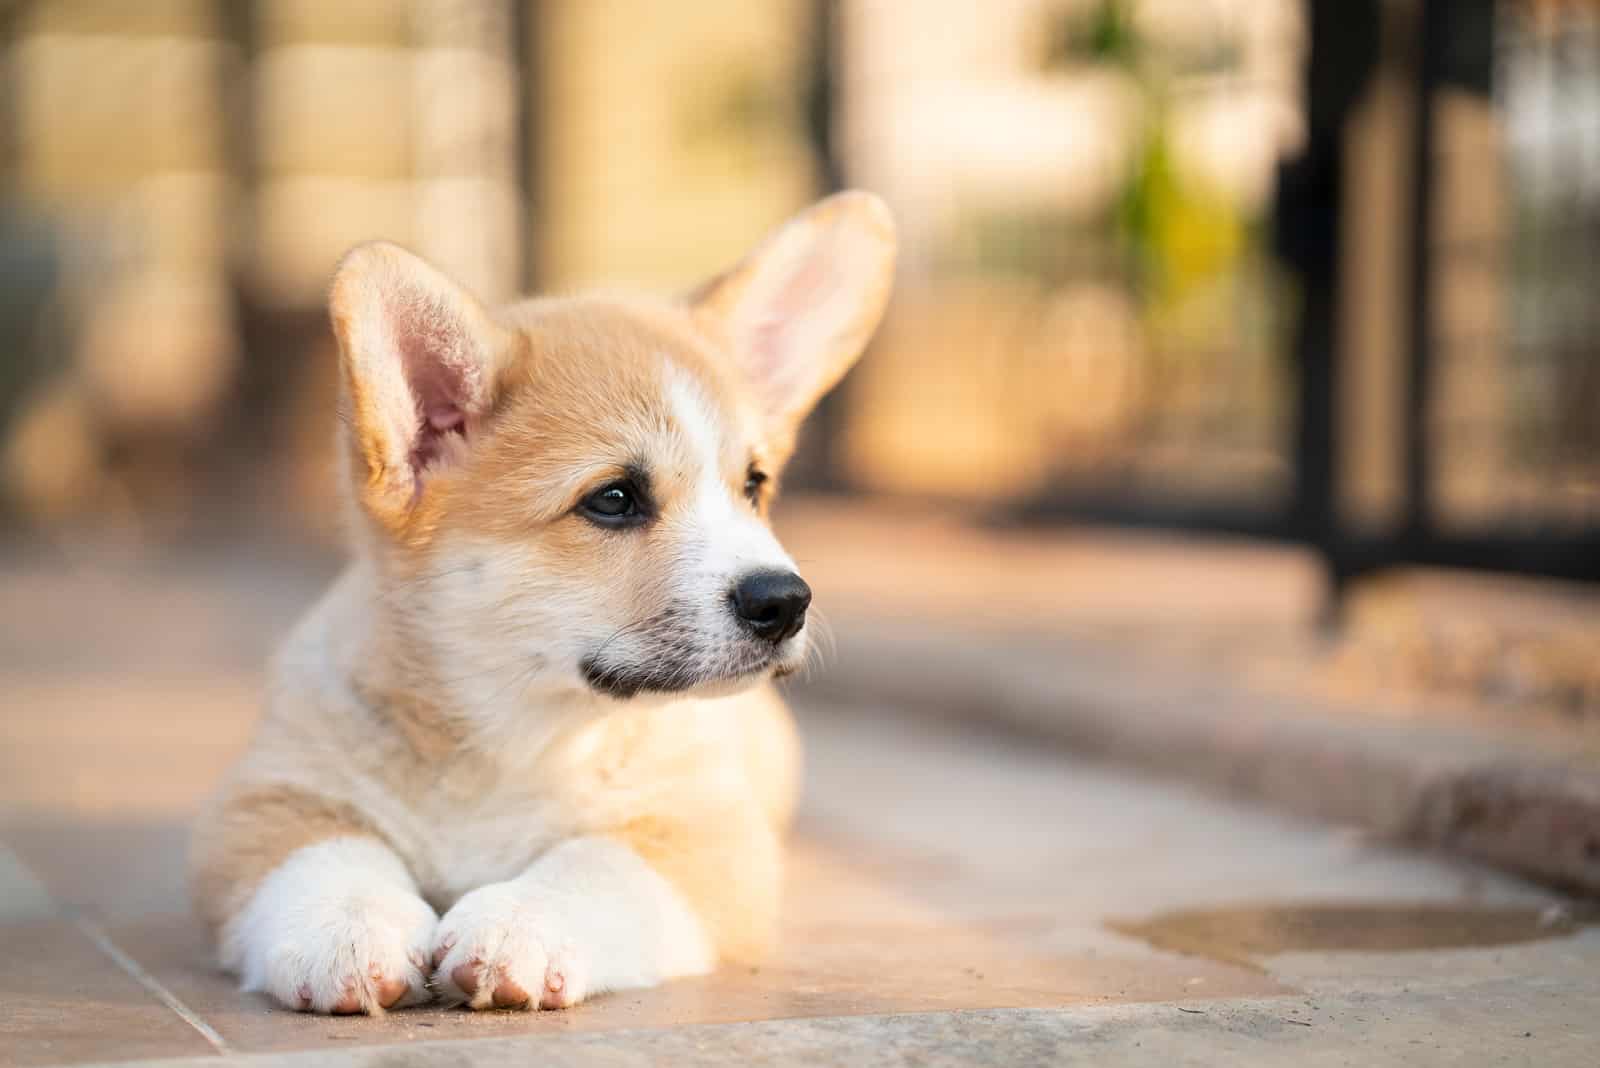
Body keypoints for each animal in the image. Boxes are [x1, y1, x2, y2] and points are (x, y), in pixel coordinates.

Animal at [187, 194, 902, 1016]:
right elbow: (324, 853)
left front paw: (518, 926)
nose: (785, 601)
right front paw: (347, 926)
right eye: (614, 500)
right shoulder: (268, 797)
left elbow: (597, 862)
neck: (516, 735)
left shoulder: (704, 833)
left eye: (752, 486)